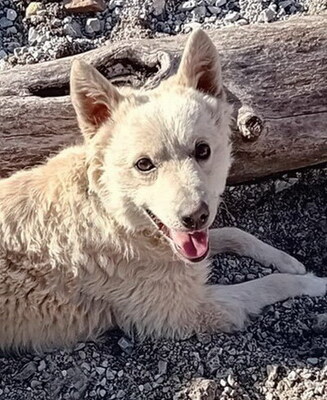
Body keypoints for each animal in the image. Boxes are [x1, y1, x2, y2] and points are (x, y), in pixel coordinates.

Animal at [0, 30, 326, 350]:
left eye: (203, 150)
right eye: (144, 164)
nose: (195, 217)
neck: (112, 216)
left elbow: (235, 233)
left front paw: (286, 260)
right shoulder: (190, 310)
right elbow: (271, 284)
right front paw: (314, 282)